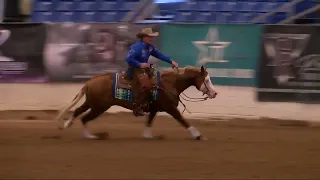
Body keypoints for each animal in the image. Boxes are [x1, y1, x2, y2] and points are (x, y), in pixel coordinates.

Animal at [56, 65, 219, 140]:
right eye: (206, 80)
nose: (215, 93)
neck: (168, 84)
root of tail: (90, 82)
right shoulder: (170, 108)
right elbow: (183, 120)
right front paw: (198, 135)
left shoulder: (154, 109)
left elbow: (149, 122)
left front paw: (148, 136)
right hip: (98, 107)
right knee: (84, 117)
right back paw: (89, 136)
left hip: (92, 103)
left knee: (79, 112)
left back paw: (70, 126)